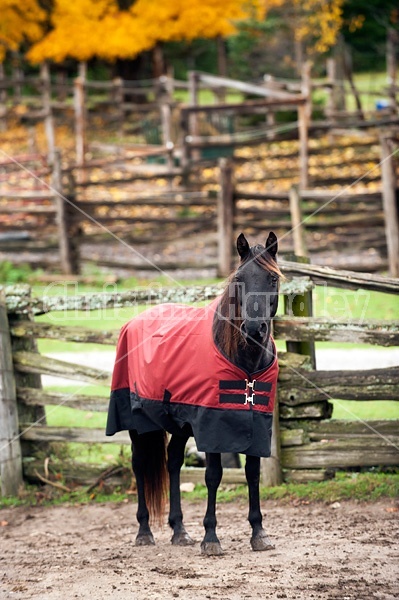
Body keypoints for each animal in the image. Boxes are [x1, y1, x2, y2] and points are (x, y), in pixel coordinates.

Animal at [106, 232, 282, 556]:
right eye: (239, 278)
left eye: (272, 279)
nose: (254, 330)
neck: (245, 364)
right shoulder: (211, 424)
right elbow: (213, 476)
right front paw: (211, 537)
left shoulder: (256, 424)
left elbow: (252, 473)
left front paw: (259, 533)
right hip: (137, 421)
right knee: (140, 464)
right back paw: (144, 531)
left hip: (179, 424)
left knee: (173, 461)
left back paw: (179, 530)